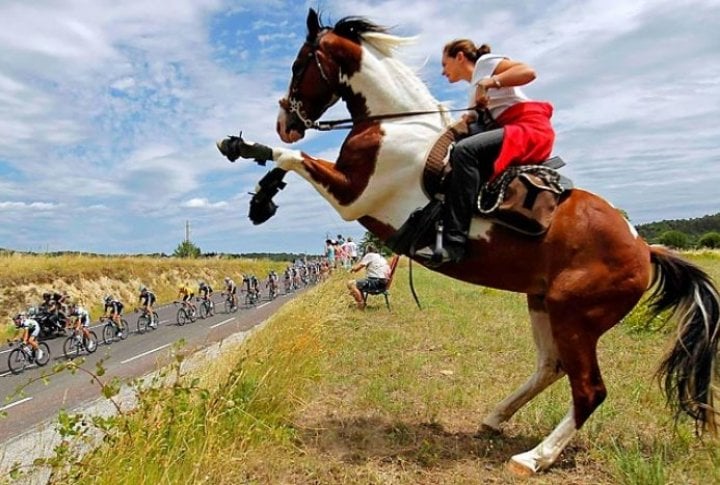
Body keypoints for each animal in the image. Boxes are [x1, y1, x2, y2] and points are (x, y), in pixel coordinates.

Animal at [217, 9, 716, 474]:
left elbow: (293, 157)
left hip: (576, 315)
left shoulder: (351, 195)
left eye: (300, 63)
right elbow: (288, 161)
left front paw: (248, 157)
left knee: (589, 390)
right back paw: (494, 418)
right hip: (543, 303)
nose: (285, 121)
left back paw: (534, 458)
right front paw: (260, 195)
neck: (393, 125)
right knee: (551, 368)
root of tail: (644, 249)